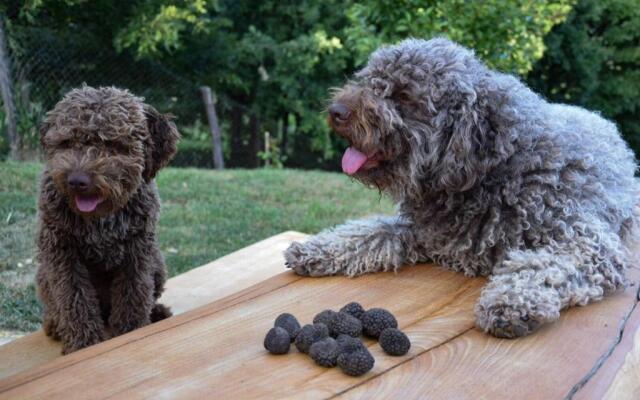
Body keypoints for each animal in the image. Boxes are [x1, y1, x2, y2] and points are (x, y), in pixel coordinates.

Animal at [286, 36, 640, 338]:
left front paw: (510, 302)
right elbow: (366, 233)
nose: (336, 111)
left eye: (403, 95)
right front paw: (316, 249)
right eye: (370, 80)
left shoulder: (588, 242)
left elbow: (541, 266)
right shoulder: (420, 231)